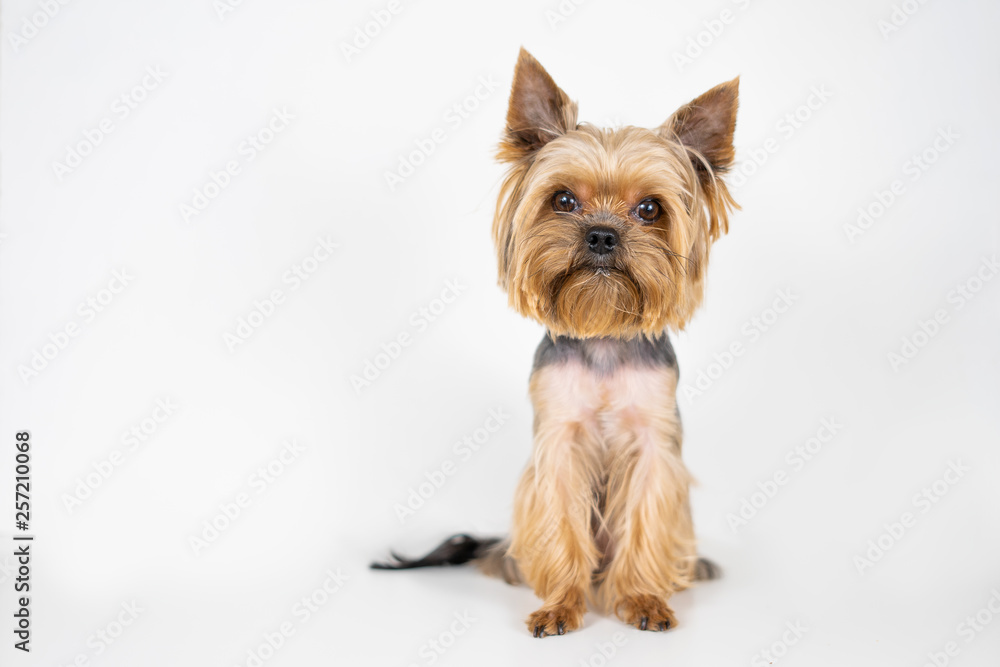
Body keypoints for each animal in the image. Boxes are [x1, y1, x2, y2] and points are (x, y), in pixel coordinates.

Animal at [372, 45, 740, 636]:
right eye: (563, 199)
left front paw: (642, 600)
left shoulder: (653, 441)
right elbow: (561, 523)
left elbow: (646, 518)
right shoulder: (560, 440)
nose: (602, 234)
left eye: (650, 209)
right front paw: (560, 607)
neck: (605, 334)